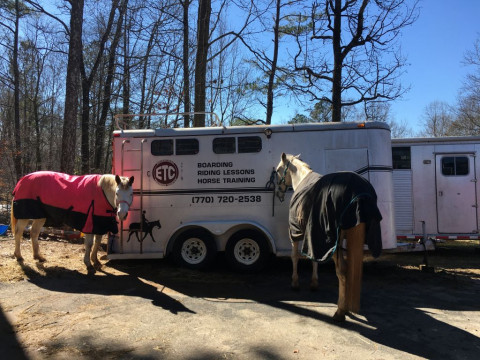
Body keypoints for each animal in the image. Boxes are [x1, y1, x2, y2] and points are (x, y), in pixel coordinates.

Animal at [274, 153, 382, 322]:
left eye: (278, 170)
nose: (278, 192)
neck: (302, 179)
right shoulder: (312, 236)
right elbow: (314, 259)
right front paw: (313, 283)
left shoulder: (296, 232)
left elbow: (295, 256)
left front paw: (295, 282)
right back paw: (348, 308)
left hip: (335, 241)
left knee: (342, 271)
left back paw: (340, 312)